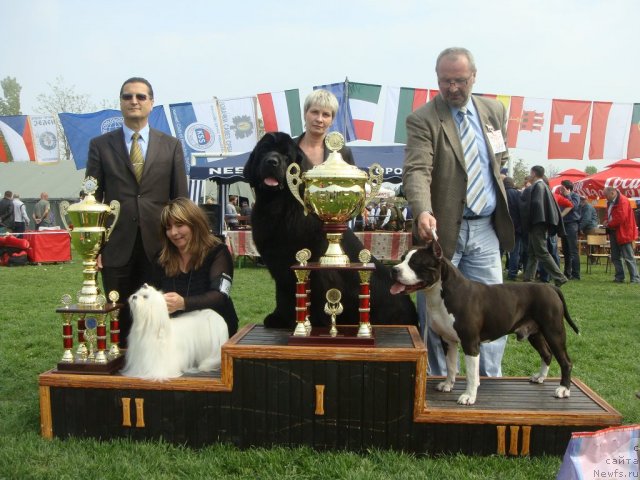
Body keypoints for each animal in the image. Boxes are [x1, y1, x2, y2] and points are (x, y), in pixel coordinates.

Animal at [242, 130, 418, 330]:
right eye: (264, 151)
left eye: (286, 156)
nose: (272, 161)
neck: (278, 204)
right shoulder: (282, 265)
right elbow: (283, 293)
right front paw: (280, 318)